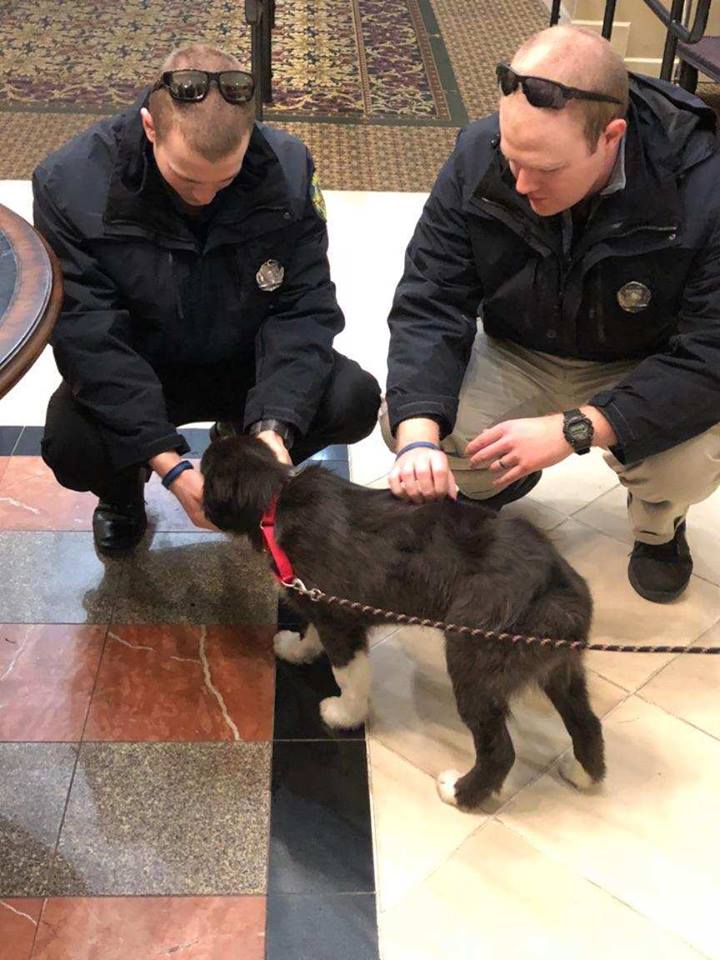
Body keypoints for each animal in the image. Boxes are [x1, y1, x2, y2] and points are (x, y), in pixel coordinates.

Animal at [200, 436, 604, 808]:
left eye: (204, 474)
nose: (199, 503)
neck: (276, 498)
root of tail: (558, 588)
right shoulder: (320, 603)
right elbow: (310, 632)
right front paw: (296, 649)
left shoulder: (341, 623)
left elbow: (349, 676)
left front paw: (344, 715)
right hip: (559, 668)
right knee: (587, 721)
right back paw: (583, 775)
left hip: (474, 663)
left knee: (500, 750)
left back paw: (458, 792)